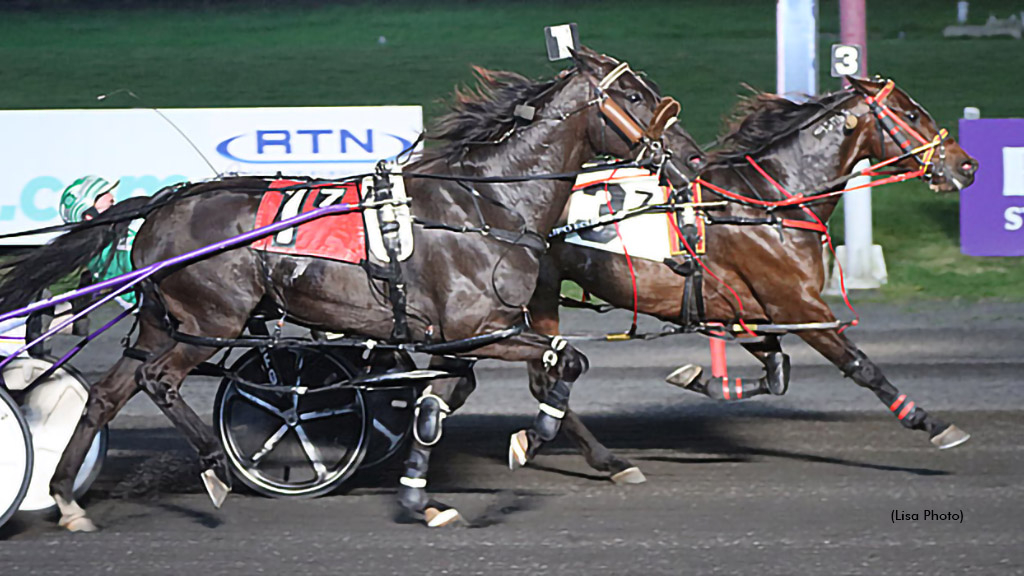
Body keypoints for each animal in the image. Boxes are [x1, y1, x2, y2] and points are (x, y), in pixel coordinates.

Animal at [0, 47, 704, 528]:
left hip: (161, 321)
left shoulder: (464, 341)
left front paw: (423, 497)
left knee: (106, 395)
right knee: (159, 382)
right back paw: (217, 469)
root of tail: (163, 203)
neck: (484, 206)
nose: (690, 155)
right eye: (636, 96)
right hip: (210, 322)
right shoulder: (482, 331)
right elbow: (569, 361)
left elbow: (440, 404)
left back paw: (66, 498)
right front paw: (533, 438)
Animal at [524, 76, 978, 479]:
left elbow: (777, 373)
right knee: (545, 377)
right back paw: (604, 459)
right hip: (539, 294)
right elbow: (860, 366)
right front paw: (931, 423)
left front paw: (700, 380)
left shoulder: (748, 309)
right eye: (911, 114)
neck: (771, 202)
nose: (967, 165)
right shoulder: (797, 305)